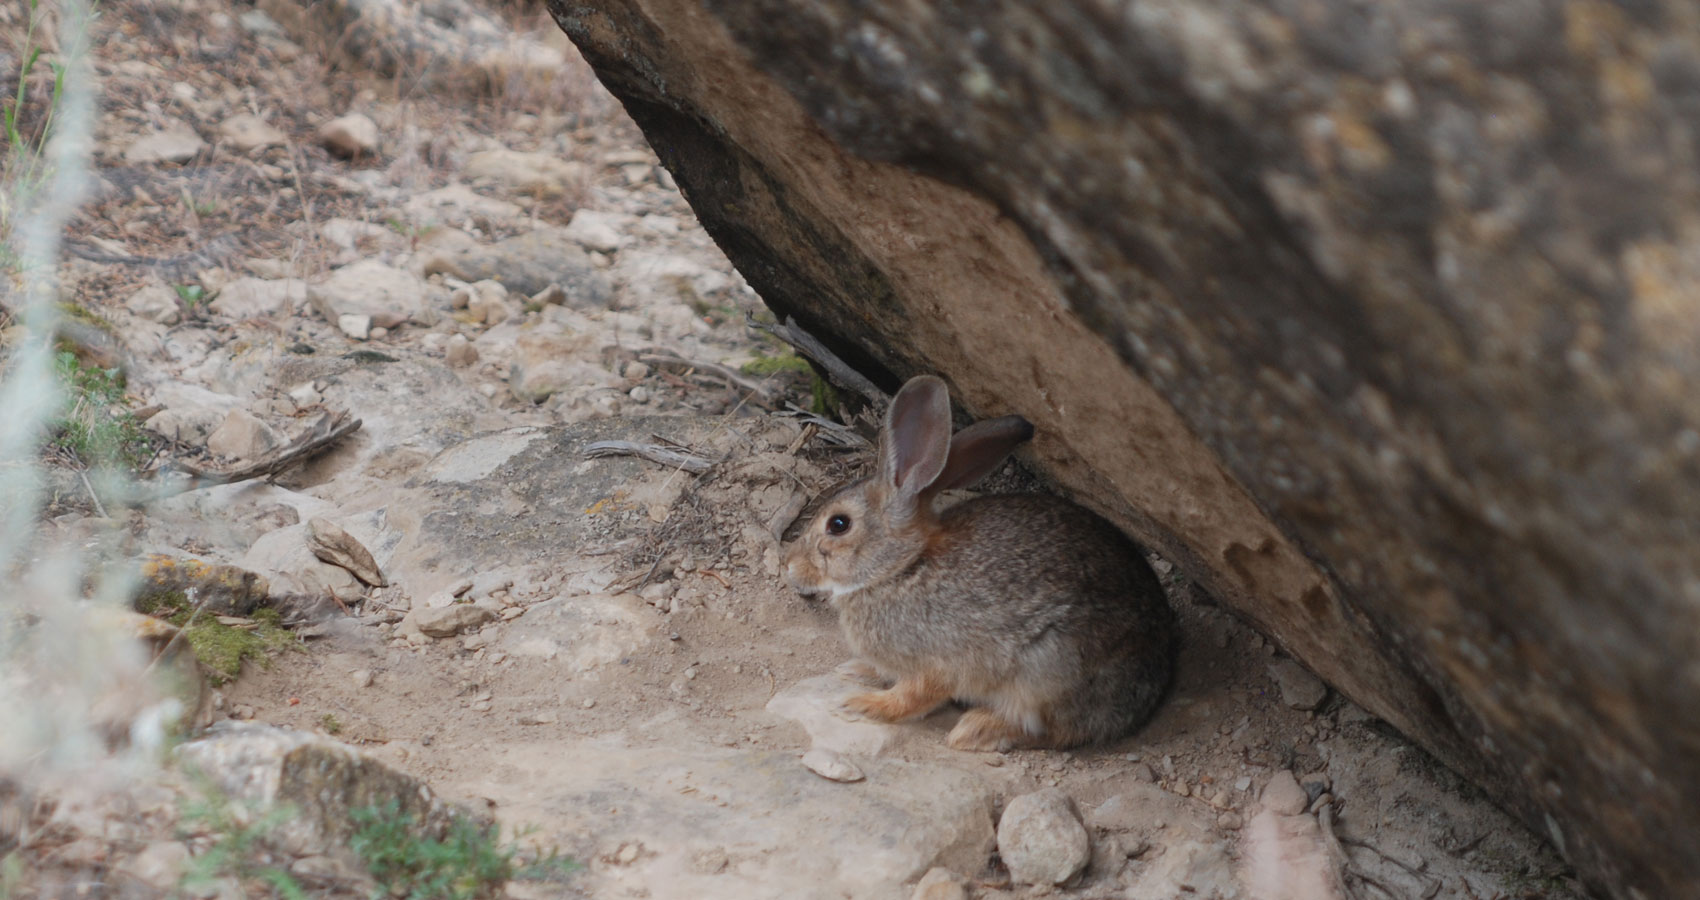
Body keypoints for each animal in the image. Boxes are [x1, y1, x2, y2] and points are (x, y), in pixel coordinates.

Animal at [785, 372, 1176, 751]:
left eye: (838, 524)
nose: (789, 565)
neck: (901, 568)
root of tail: (1153, 686)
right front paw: (857, 670)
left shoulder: (939, 664)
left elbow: (913, 696)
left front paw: (864, 704)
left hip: (1047, 672)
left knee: (1057, 732)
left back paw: (976, 730)